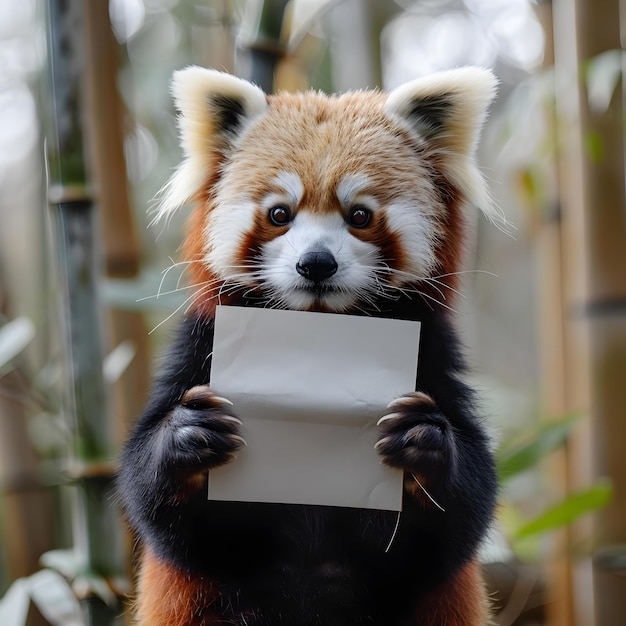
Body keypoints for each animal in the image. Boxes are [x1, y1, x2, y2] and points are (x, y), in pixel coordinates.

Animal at [119, 66, 504, 620]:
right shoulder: (198, 345)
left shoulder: (434, 351)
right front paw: (187, 434)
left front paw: (423, 441)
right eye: (280, 213)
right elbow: (162, 515)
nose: (316, 263)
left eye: (359, 215)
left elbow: (458, 524)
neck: (319, 330)